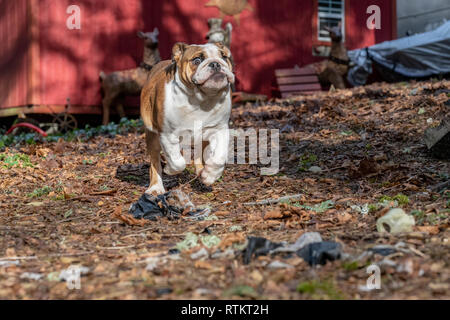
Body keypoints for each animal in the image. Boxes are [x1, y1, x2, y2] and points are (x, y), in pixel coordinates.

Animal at [141, 41, 236, 194]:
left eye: (224, 57)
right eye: (197, 60)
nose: (215, 64)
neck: (200, 99)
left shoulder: (219, 129)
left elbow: (219, 157)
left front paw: (210, 175)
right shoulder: (167, 134)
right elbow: (176, 161)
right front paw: (169, 169)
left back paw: (202, 172)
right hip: (152, 136)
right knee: (155, 161)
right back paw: (156, 187)